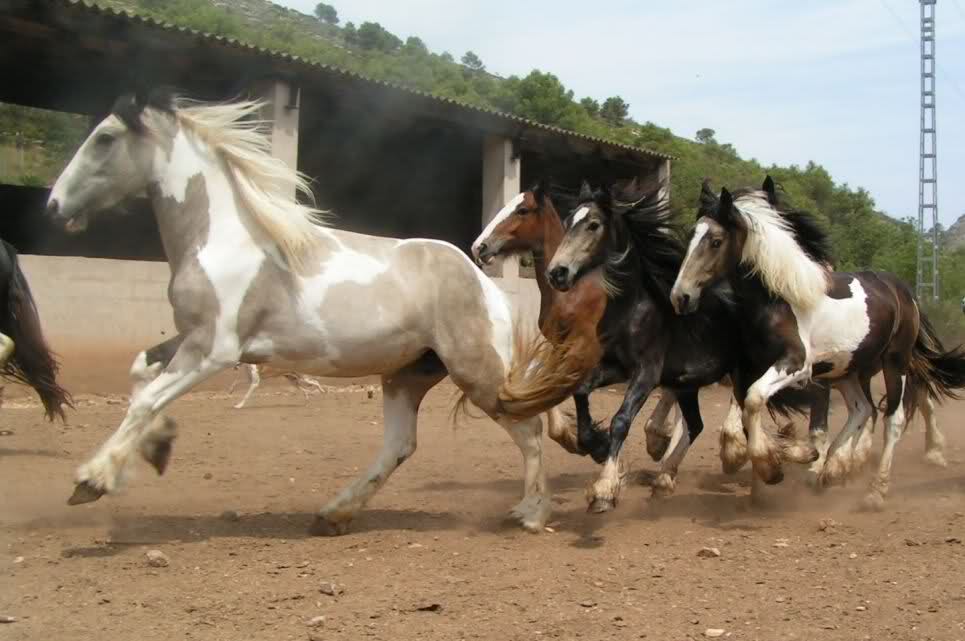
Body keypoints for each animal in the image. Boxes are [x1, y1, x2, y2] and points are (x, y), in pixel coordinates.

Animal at [45, 87, 572, 532]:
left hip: (476, 371)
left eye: (105, 138)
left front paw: (90, 480)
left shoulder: (213, 350)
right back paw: (334, 514)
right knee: (400, 445)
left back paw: (531, 513)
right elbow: (140, 374)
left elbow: (147, 399)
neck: (224, 240)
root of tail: (485, 283)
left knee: (528, 430)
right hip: (408, 374)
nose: (53, 205)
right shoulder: (194, 336)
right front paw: (154, 449)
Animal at [672, 178, 964, 508]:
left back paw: (874, 491)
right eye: (691, 235)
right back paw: (833, 469)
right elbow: (749, 413)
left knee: (894, 419)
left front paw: (771, 467)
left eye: (716, 241)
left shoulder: (797, 366)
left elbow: (757, 400)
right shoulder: (751, 370)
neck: (778, 302)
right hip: (848, 371)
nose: (680, 296)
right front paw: (767, 474)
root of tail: (904, 290)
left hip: (894, 362)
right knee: (864, 409)